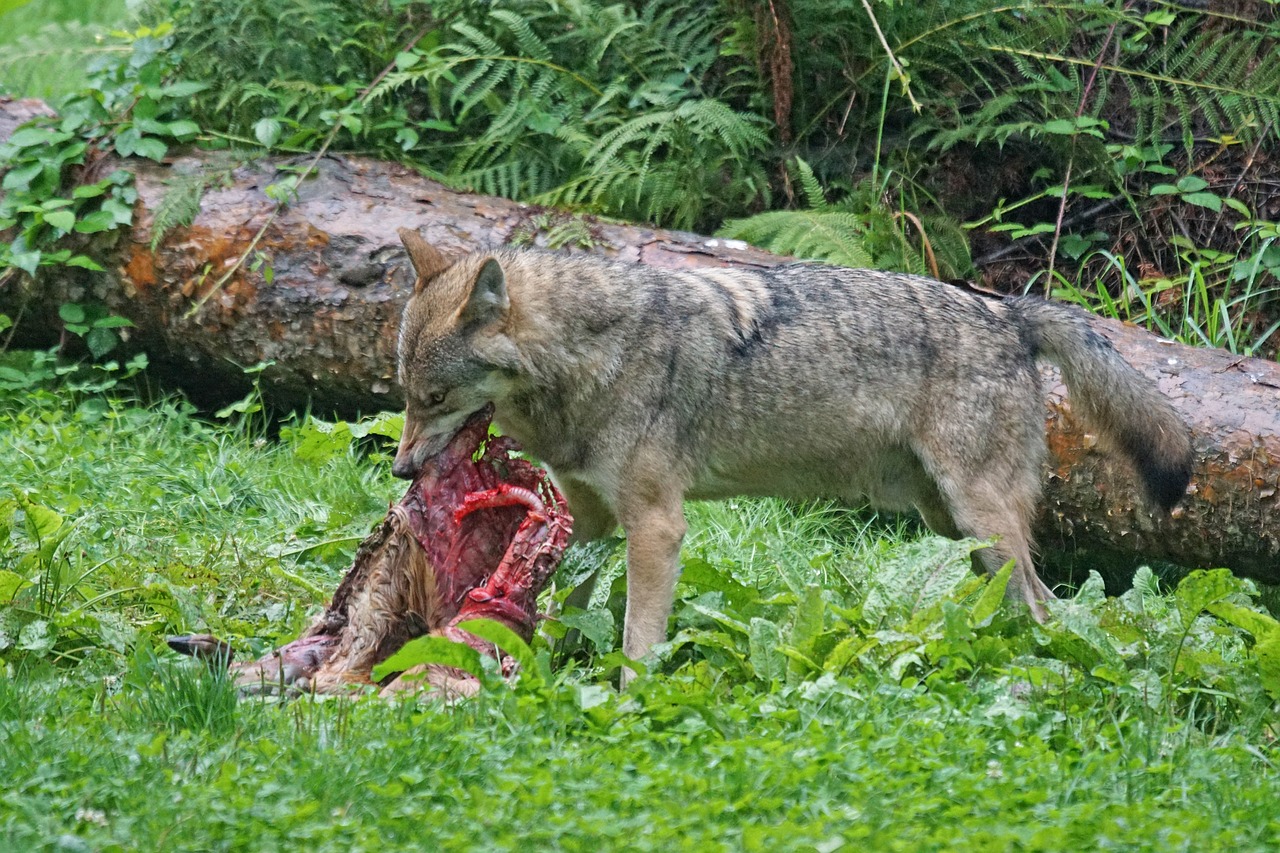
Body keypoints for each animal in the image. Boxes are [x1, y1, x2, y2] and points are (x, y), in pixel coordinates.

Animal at [386, 230, 1187, 666]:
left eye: (434, 397)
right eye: (404, 393)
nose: (400, 467)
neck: (588, 356)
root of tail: (1012, 311)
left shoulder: (657, 527)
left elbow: (638, 643)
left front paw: (625, 703)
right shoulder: (589, 521)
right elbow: (557, 602)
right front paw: (534, 665)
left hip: (980, 521)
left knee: (1048, 610)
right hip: (953, 526)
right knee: (1030, 604)